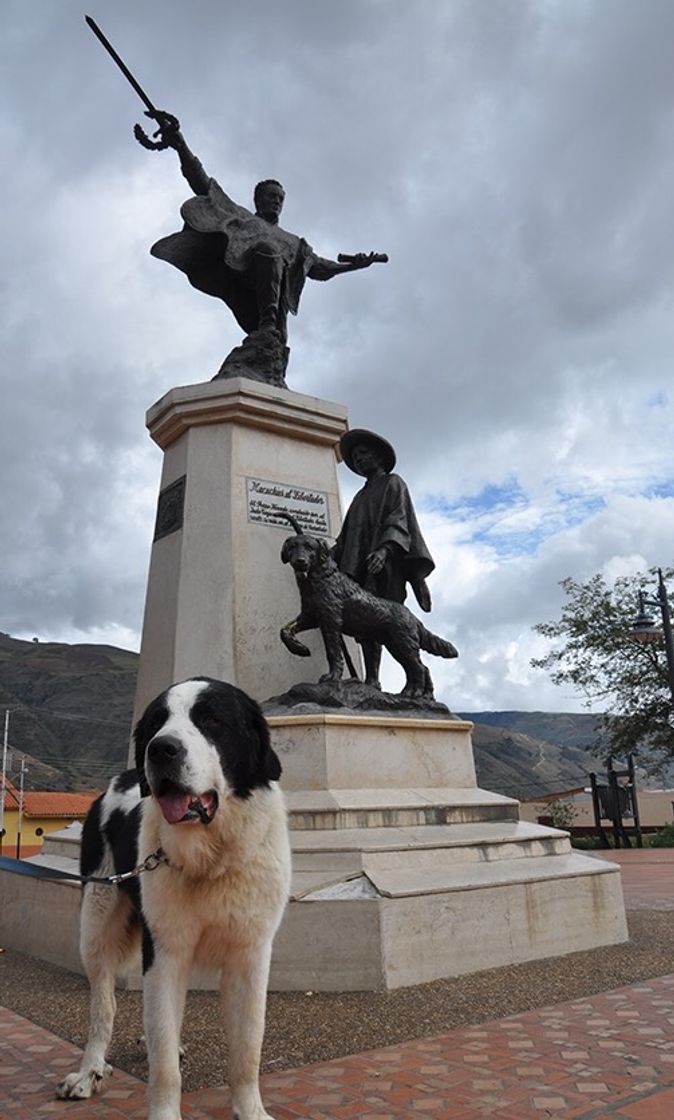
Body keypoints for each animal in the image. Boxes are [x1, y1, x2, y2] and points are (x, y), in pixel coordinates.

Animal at [57, 672, 288, 1120]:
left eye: (212, 720)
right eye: (156, 723)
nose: (160, 748)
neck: (212, 858)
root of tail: (120, 778)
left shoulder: (251, 953)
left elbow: (248, 1045)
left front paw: (250, 1109)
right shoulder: (164, 950)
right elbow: (163, 1061)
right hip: (95, 924)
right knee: (103, 1007)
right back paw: (88, 1072)